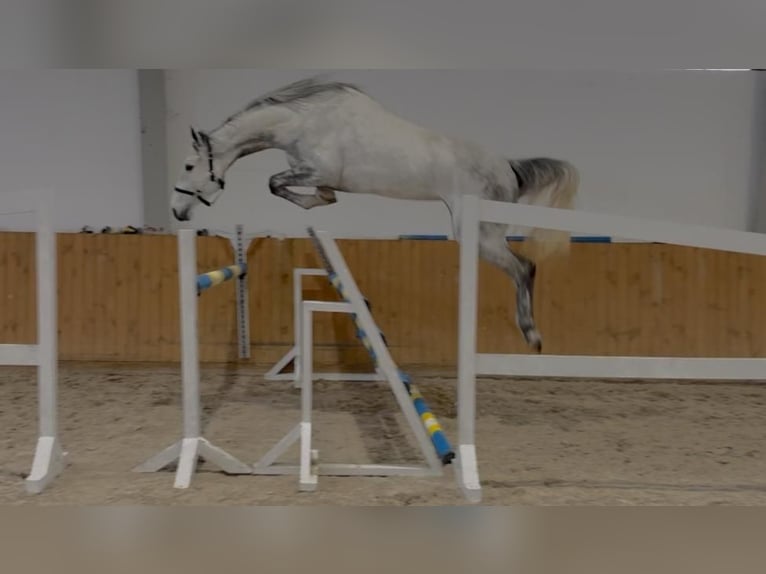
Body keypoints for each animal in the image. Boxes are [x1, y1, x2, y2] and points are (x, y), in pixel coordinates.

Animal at [171, 76, 579, 351]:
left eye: (189, 166)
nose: (176, 211)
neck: (301, 122)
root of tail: (509, 167)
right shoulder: (320, 178)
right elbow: (313, 195)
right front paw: (316, 207)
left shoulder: (313, 171)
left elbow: (274, 183)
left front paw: (306, 205)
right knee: (523, 268)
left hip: (480, 235)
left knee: (524, 268)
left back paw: (532, 334)